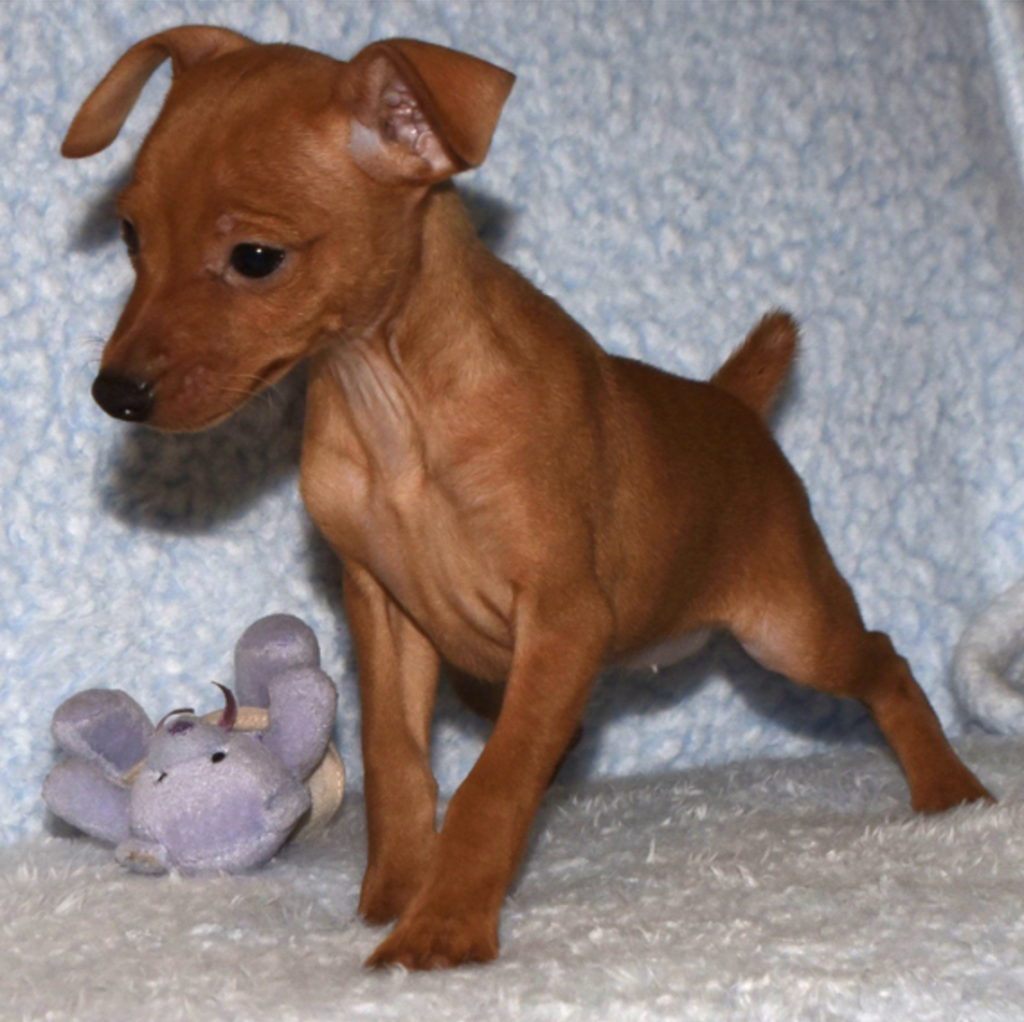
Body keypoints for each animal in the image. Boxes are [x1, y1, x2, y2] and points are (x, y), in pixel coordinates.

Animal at [63, 27, 993, 969]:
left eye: (256, 259)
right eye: (131, 236)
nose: (116, 394)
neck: (396, 407)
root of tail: (730, 402)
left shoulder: (563, 618)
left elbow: (494, 781)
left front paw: (442, 927)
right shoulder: (384, 610)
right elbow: (398, 759)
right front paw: (396, 890)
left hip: (790, 632)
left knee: (884, 660)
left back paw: (950, 786)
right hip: (492, 672)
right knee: (559, 730)